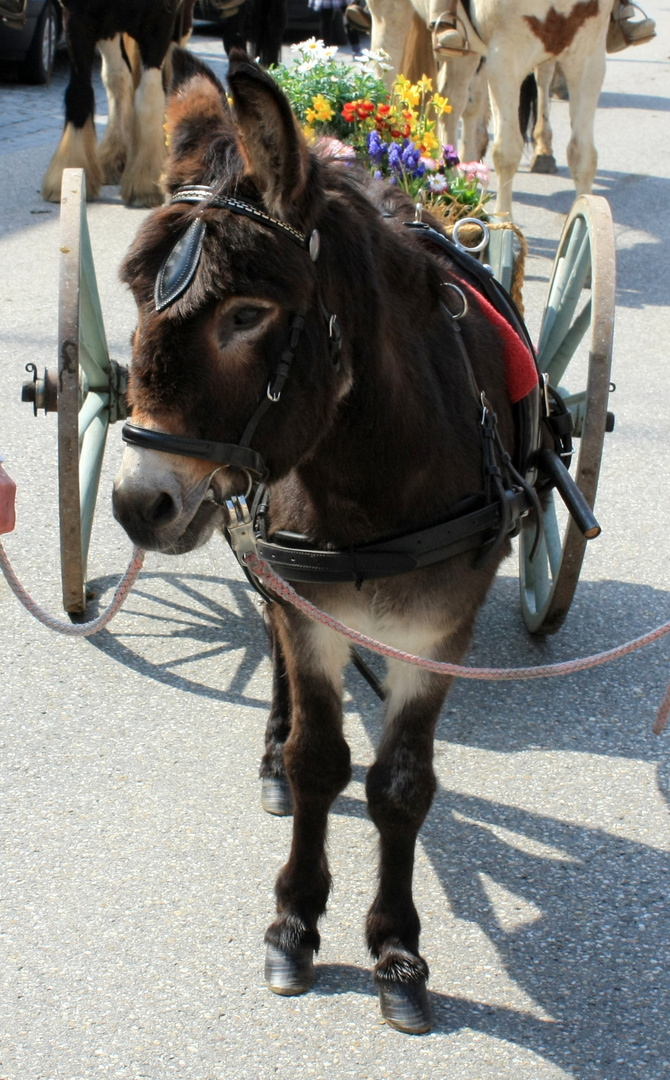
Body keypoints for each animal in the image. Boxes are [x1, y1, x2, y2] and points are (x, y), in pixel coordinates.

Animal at [109, 46, 538, 1032]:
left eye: (246, 314)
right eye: (136, 295)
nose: (137, 504)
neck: (374, 486)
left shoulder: (438, 633)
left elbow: (401, 786)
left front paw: (397, 950)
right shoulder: (308, 611)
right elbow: (319, 762)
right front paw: (295, 923)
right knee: (271, 653)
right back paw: (269, 747)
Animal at [369, 0, 613, 217]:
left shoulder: (588, 57)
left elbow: (582, 155)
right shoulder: (505, 58)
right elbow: (507, 152)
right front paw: (505, 227)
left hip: (466, 50)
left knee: (453, 101)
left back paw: (451, 179)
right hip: (389, 15)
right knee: (384, 74)